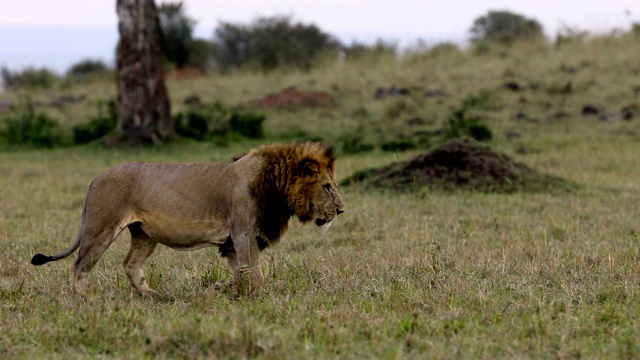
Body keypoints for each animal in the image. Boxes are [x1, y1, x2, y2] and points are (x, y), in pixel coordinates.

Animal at [31, 141, 344, 296]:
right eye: (327, 186)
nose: (341, 210)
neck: (276, 187)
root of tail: (94, 180)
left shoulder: (232, 242)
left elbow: (240, 273)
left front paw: (224, 289)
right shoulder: (243, 232)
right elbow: (253, 272)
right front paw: (254, 295)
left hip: (143, 234)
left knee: (130, 264)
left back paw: (153, 295)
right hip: (100, 229)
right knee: (79, 265)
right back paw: (82, 299)